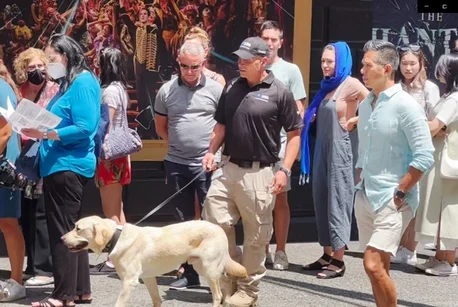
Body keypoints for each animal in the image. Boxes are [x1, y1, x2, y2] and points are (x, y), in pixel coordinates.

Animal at [61, 217, 247, 307]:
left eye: (78, 228)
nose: (61, 238)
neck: (116, 237)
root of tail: (219, 228)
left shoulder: (129, 282)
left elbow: (119, 303)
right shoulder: (148, 278)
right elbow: (157, 300)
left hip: (208, 269)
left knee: (217, 295)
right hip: (203, 267)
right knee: (227, 280)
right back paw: (230, 300)